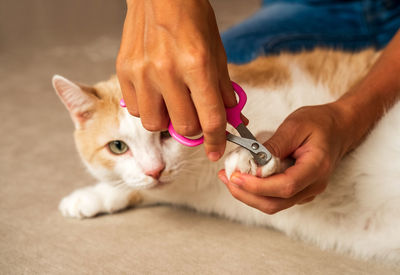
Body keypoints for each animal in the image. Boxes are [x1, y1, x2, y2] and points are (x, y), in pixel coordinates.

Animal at [51, 48, 400, 264]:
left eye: (165, 133)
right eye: (118, 147)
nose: (155, 169)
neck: (200, 171)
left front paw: (253, 158)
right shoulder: (175, 188)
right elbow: (138, 188)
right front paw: (92, 196)